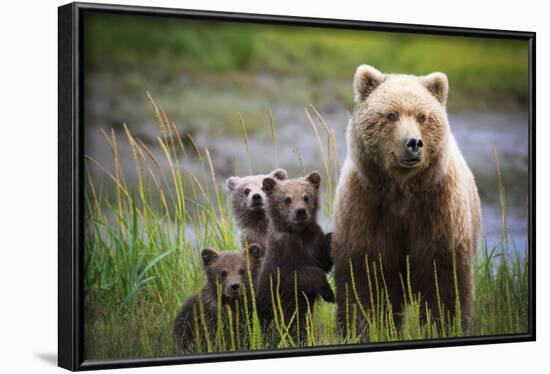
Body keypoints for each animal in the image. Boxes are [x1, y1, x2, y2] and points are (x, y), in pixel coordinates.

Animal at [332, 64, 484, 336]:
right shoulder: (366, 206)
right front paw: (367, 327)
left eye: (422, 116)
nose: (413, 143)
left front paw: (445, 325)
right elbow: (367, 278)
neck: (402, 190)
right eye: (392, 115)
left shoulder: (438, 211)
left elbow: (444, 280)